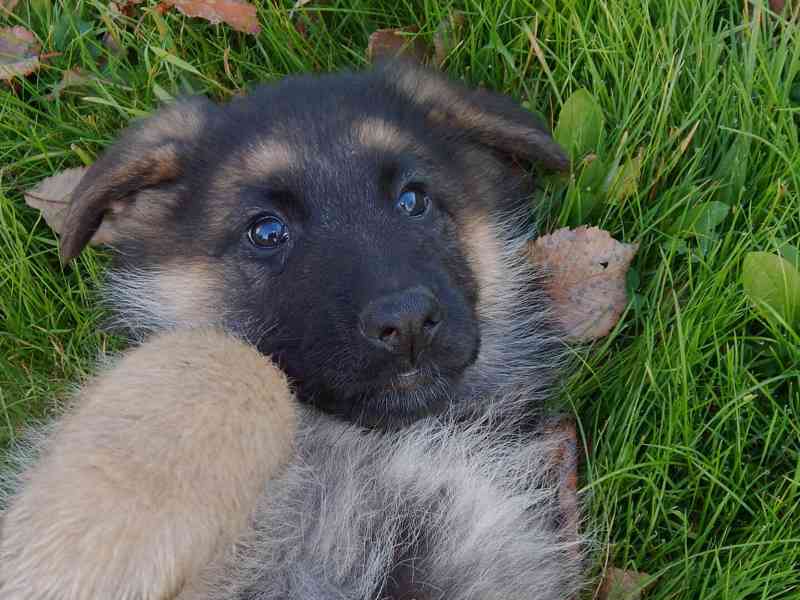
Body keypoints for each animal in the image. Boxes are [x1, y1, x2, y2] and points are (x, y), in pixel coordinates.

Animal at [3, 62, 584, 600]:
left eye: (413, 200)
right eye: (266, 231)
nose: (407, 322)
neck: (371, 437)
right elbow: (221, 359)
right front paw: (86, 548)